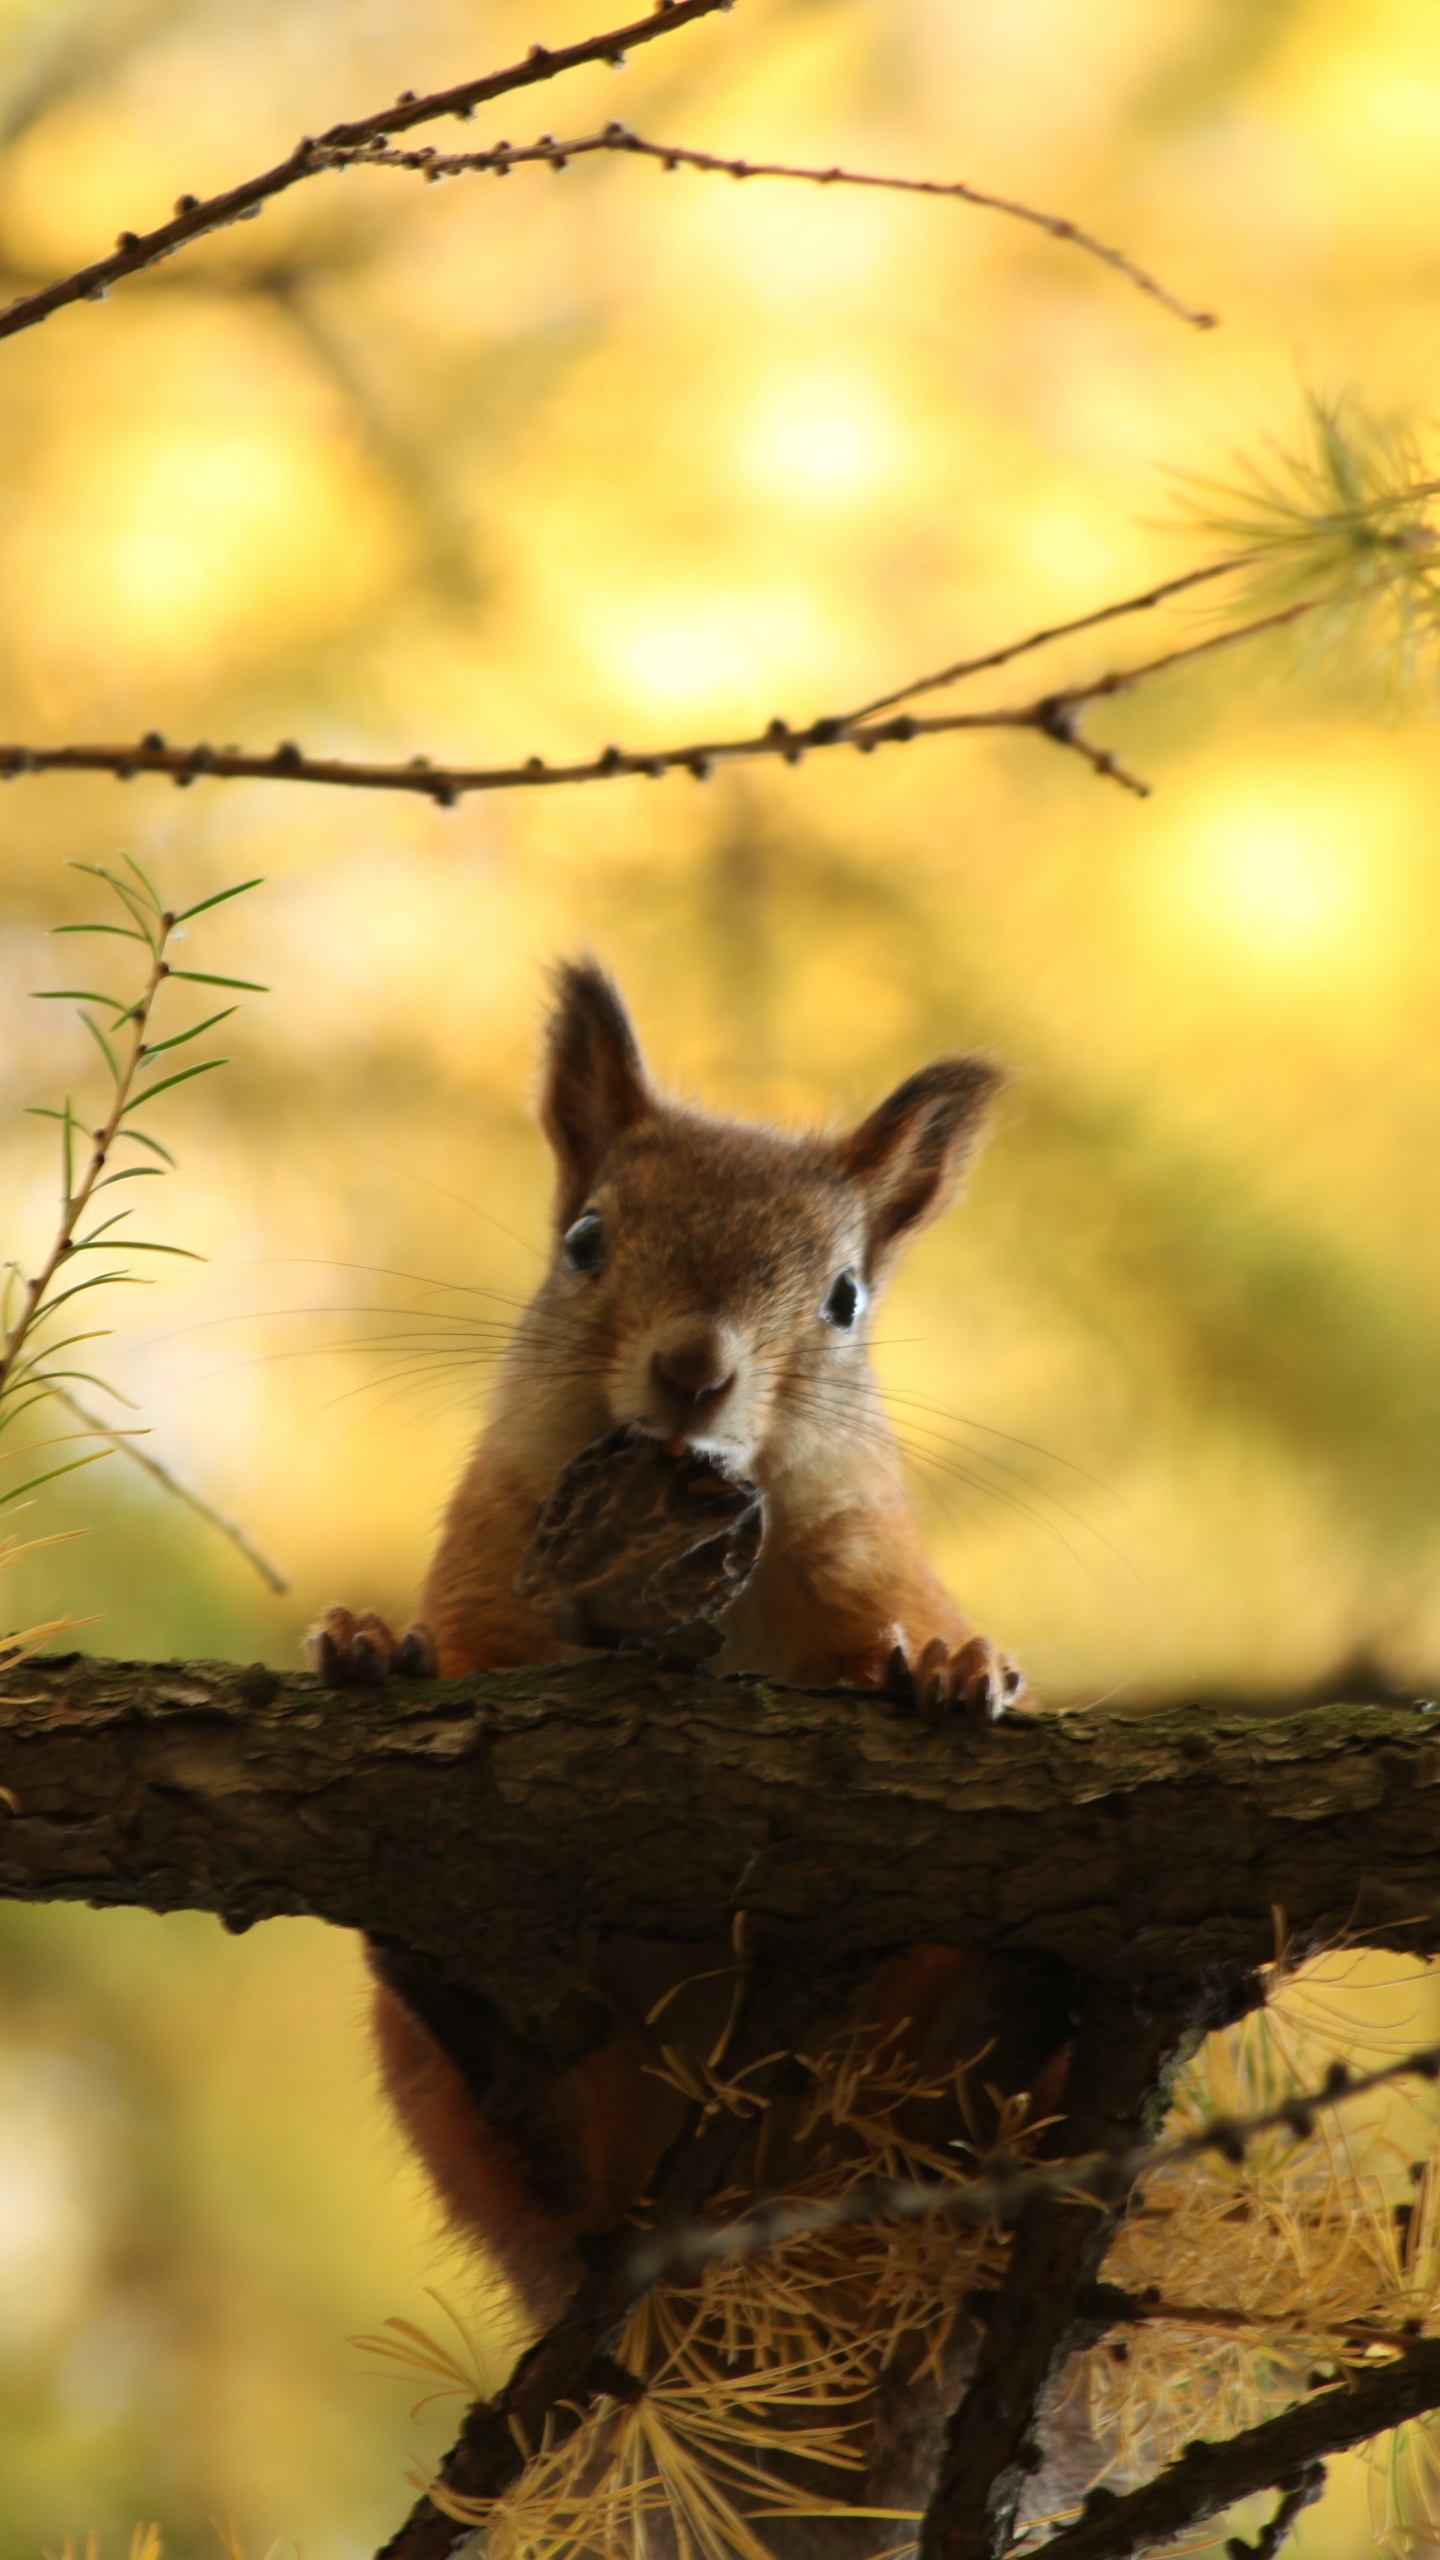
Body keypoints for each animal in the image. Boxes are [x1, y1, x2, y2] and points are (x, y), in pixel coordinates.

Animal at [308, 967, 1024, 2334]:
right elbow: (467, 1658)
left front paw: (957, 1672)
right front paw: (368, 1644)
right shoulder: (491, 1566)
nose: (695, 1367)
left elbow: (900, 1633)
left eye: (845, 1297)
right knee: (533, 2130)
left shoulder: (872, 1566)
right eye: (586, 1239)